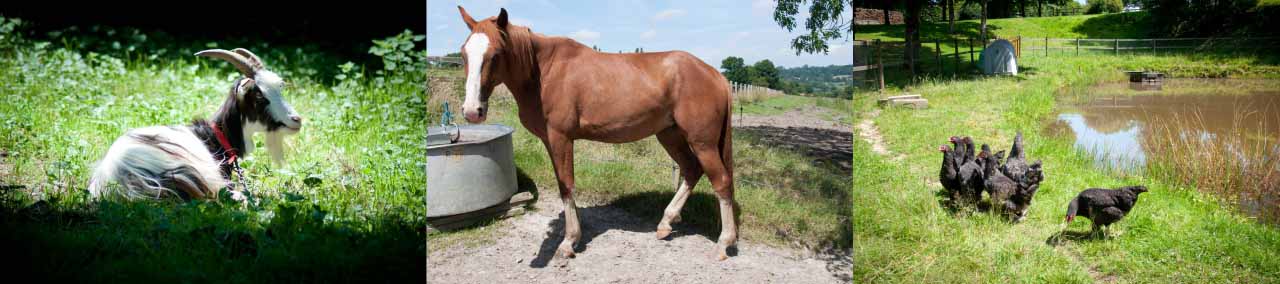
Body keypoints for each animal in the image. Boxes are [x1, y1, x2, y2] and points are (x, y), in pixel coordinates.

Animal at [458, 6, 742, 259]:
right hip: (670, 135)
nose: (472, 111)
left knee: (721, 182)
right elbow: (564, 185)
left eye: (496, 54)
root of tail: (715, 74)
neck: (544, 71)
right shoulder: (551, 141)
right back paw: (666, 223)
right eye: (463, 54)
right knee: (692, 170)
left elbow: (566, 186)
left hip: (702, 142)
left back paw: (723, 243)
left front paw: (569, 242)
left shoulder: (561, 138)